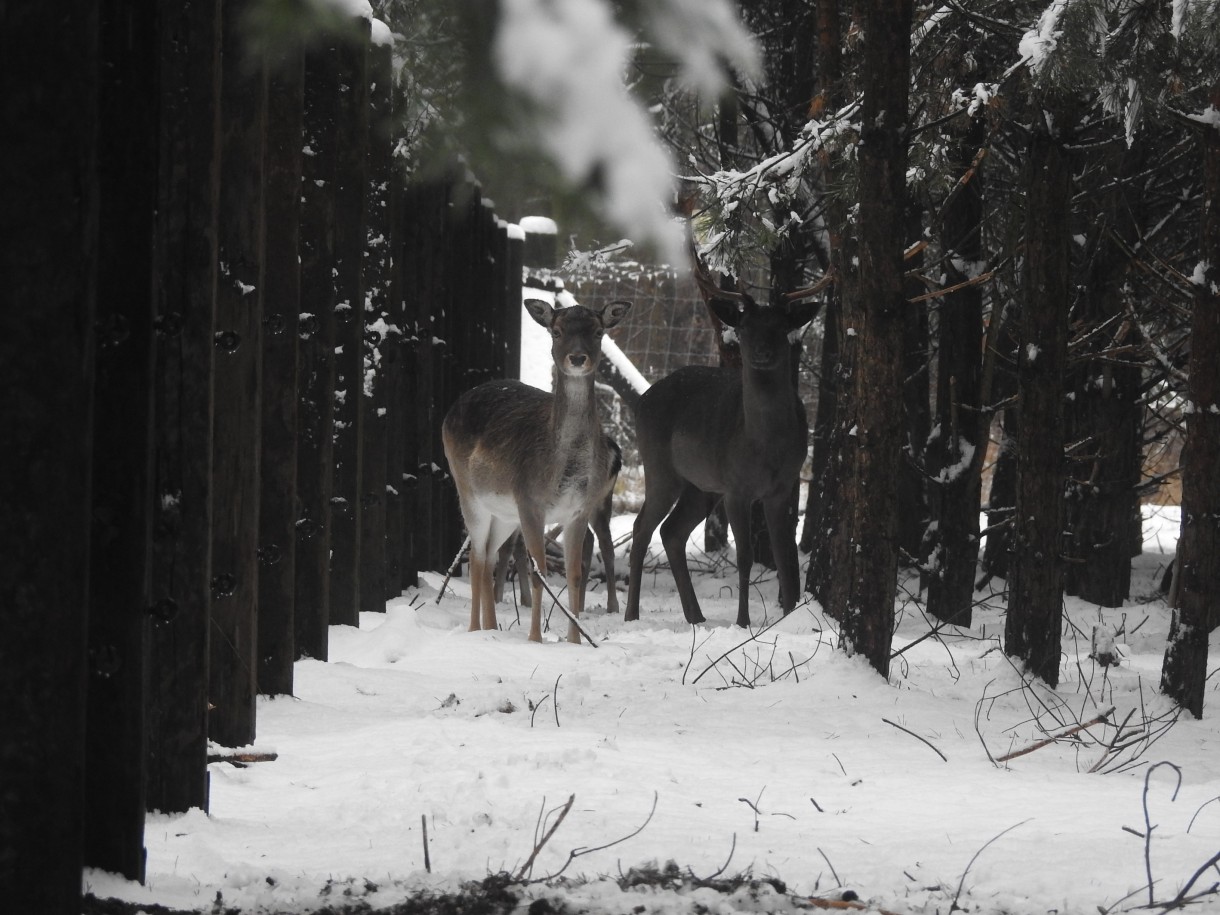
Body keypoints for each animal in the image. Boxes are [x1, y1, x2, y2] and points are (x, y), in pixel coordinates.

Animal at [441, 301, 629, 644]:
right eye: (556, 331)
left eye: (598, 331)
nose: (578, 358)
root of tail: (450, 411)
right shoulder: (529, 501)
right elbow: (539, 571)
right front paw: (535, 639)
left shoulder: (579, 509)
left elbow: (575, 573)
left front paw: (575, 641)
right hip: (468, 493)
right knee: (476, 557)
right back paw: (475, 629)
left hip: (504, 513)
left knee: (490, 554)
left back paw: (491, 627)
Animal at [624, 275, 814, 629]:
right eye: (745, 326)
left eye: (781, 326)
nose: (762, 352)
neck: (766, 447)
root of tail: (642, 399)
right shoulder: (736, 487)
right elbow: (745, 556)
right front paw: (743, 622)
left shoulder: (783, 487)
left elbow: (785, 555)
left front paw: (789, 616)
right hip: (659, 468)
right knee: (642, 527)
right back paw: (631, 614)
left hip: (700, 486)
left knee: (672, 531)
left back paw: (696, 616)